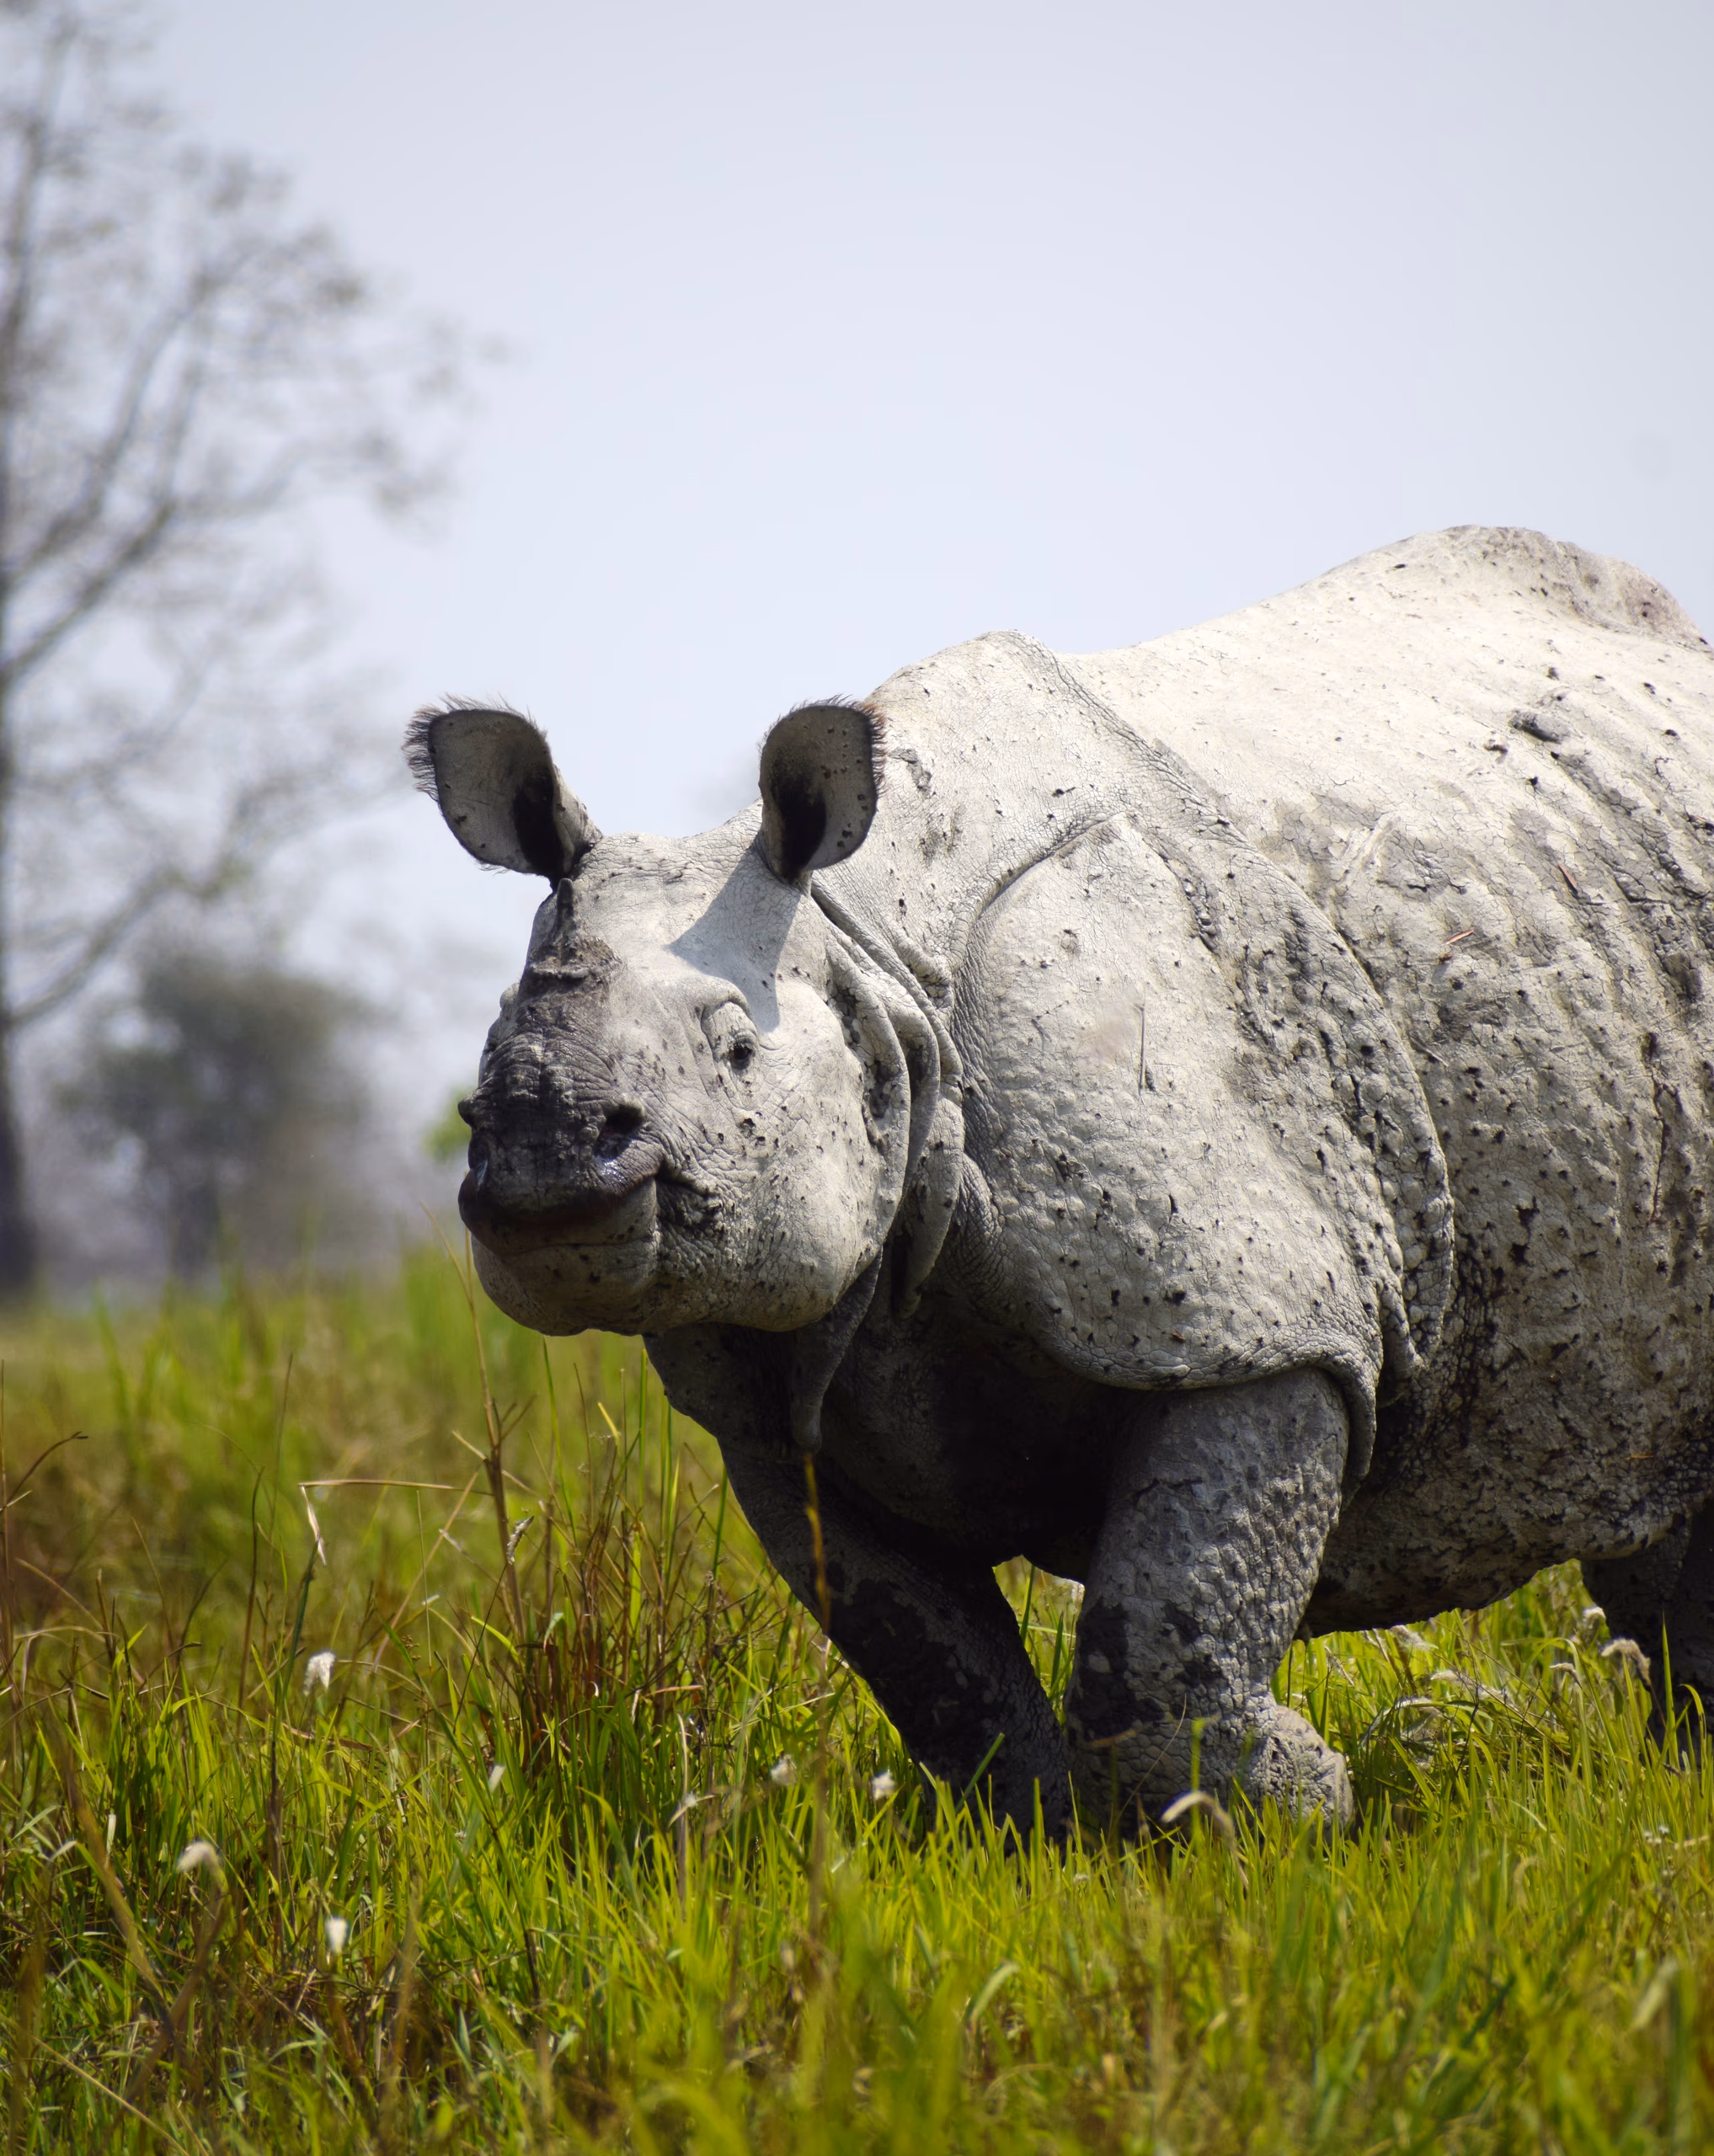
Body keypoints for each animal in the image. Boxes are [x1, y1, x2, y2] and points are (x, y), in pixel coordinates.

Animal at [407, 525, 1714, 1833]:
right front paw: (1046, 1843)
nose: (546, 1163)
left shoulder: (1259, 1308)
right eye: (488, 1046)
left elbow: (1163, 1651)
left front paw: (1304, 1812)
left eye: (734, 1046)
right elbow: (941, 1681)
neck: (868, 960)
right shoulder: (779, 1404)